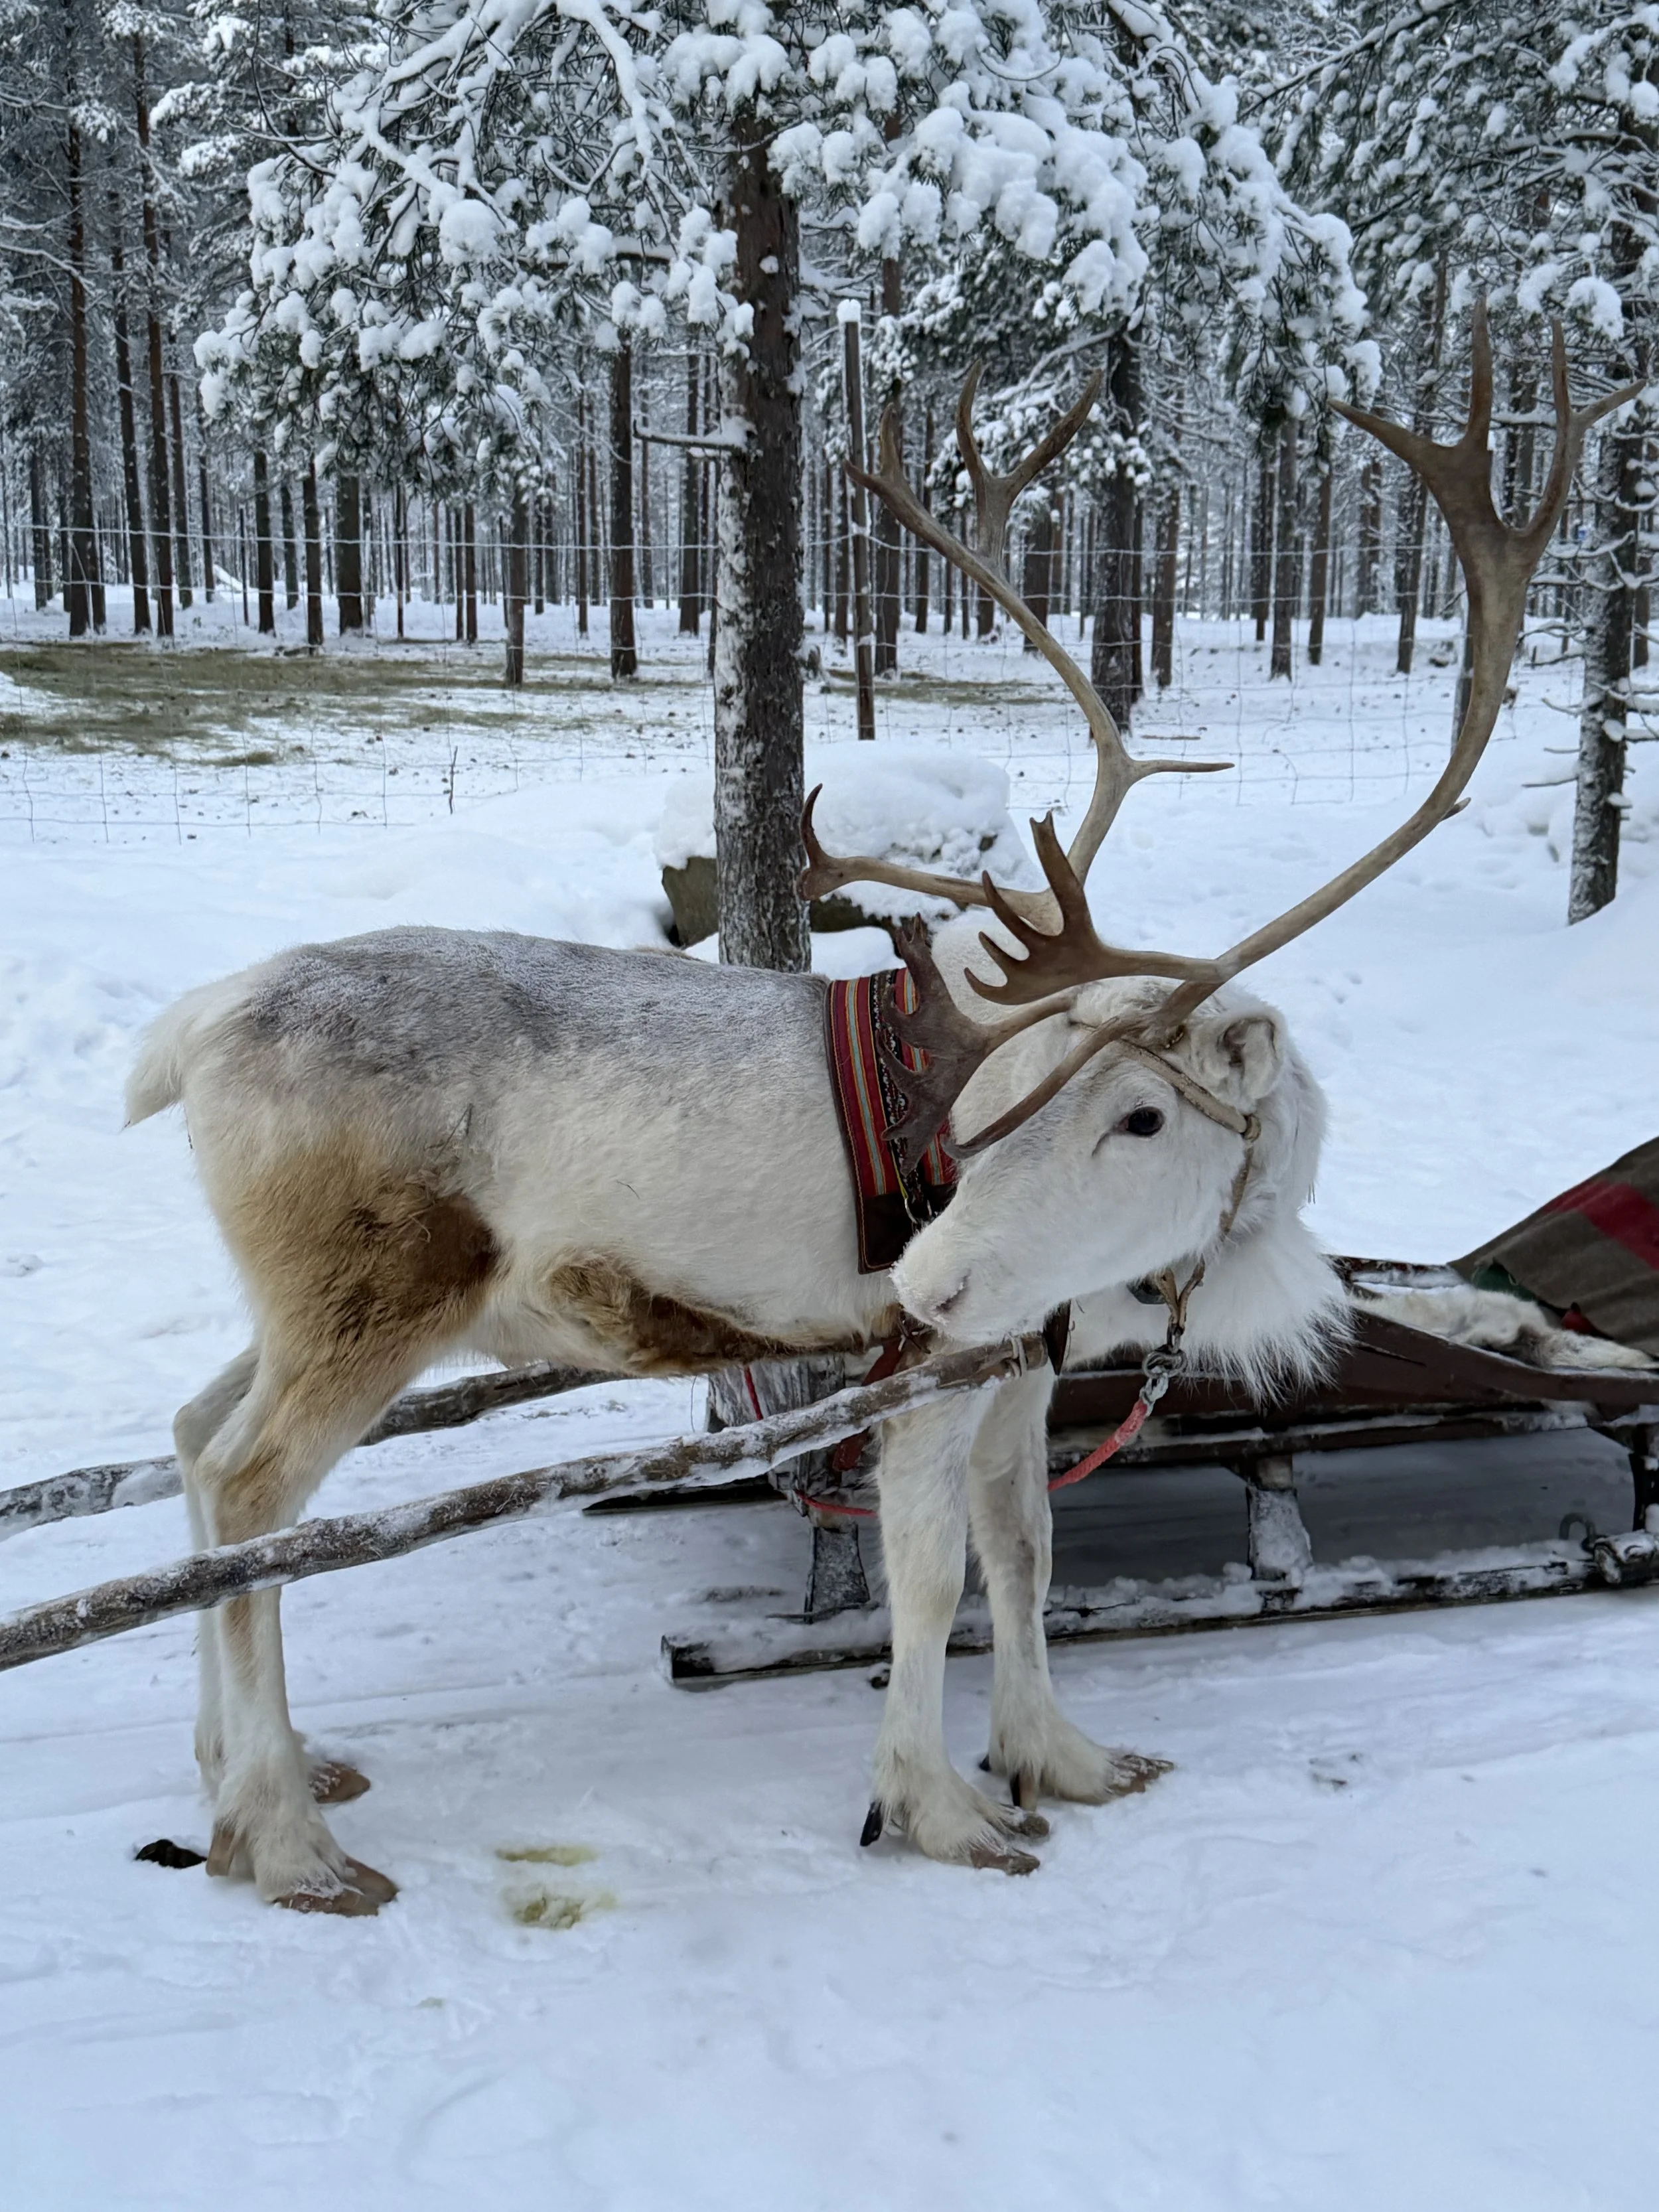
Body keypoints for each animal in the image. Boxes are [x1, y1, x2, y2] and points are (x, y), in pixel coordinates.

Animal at [125, 307, 1632, 1912]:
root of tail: (196, 1027)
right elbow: (928, 1574)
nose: (923, 1270)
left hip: (307, 1306)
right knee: (254, 1489)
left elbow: (1024, 1551)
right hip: (376, 1301)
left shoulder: (1019, 1363)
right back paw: (285, 1833)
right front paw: (939, 1806)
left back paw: (243, 1767)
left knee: (193, 1435)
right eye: (1009, 1102)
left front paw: (1061, 1758)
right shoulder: (929, 1369)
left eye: (1137, 1117)